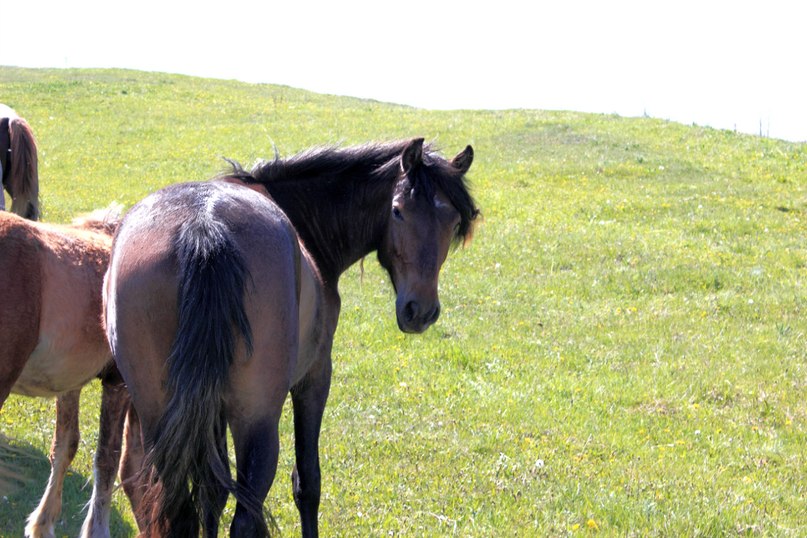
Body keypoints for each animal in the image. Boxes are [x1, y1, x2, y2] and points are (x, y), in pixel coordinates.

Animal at [111, 137, 480, 532]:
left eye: (452, 221)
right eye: (398, 211)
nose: (420, 311)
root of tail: (203, 225)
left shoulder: (209, 410)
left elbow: (213, 496)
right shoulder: (314, 378)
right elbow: (307, 482)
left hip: (160, 418)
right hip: (257, 420)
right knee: (247, 516)